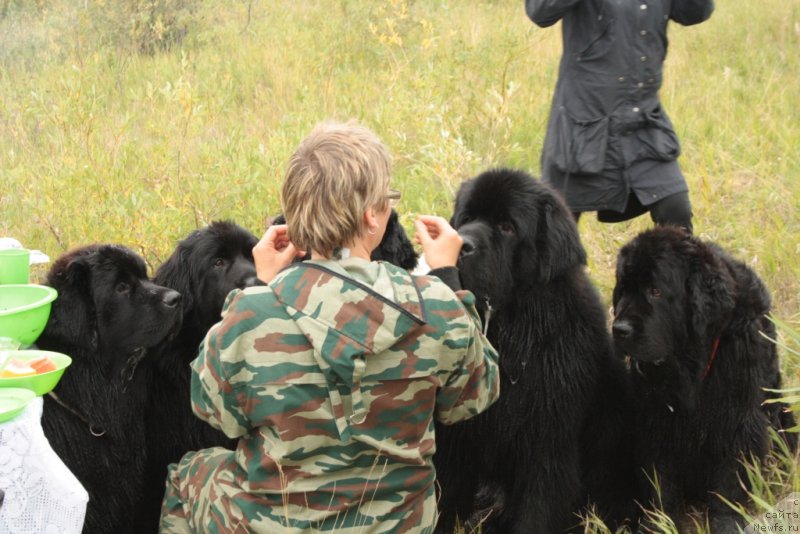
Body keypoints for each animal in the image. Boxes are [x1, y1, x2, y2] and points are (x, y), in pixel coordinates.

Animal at [434, 171, 636, 534]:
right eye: (466, 219)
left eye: (507, 227)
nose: (462, 245)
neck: (510, 334)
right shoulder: (456, 442)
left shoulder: (546, 443)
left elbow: (538, 509)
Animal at [612, 228, 792, 532]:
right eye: (622, 291)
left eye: (655, 291)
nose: (619, 329)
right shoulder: (657, 419)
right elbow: (660, 478)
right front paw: (658, 522)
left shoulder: (738, 416)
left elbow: (732, 474)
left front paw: (726, 520)